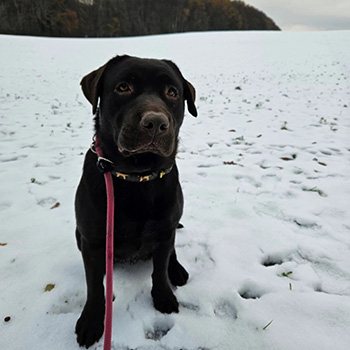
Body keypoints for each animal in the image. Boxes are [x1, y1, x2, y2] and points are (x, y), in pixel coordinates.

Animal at [74, 55, 197, 348]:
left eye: (172, 92)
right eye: (123, 87)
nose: (156, 123)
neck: (136, 176)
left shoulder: (165, 230)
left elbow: (160, 269)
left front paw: (164, 296)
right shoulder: (92, 240)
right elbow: (94, 286)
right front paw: (92, 321)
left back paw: (177, 270)